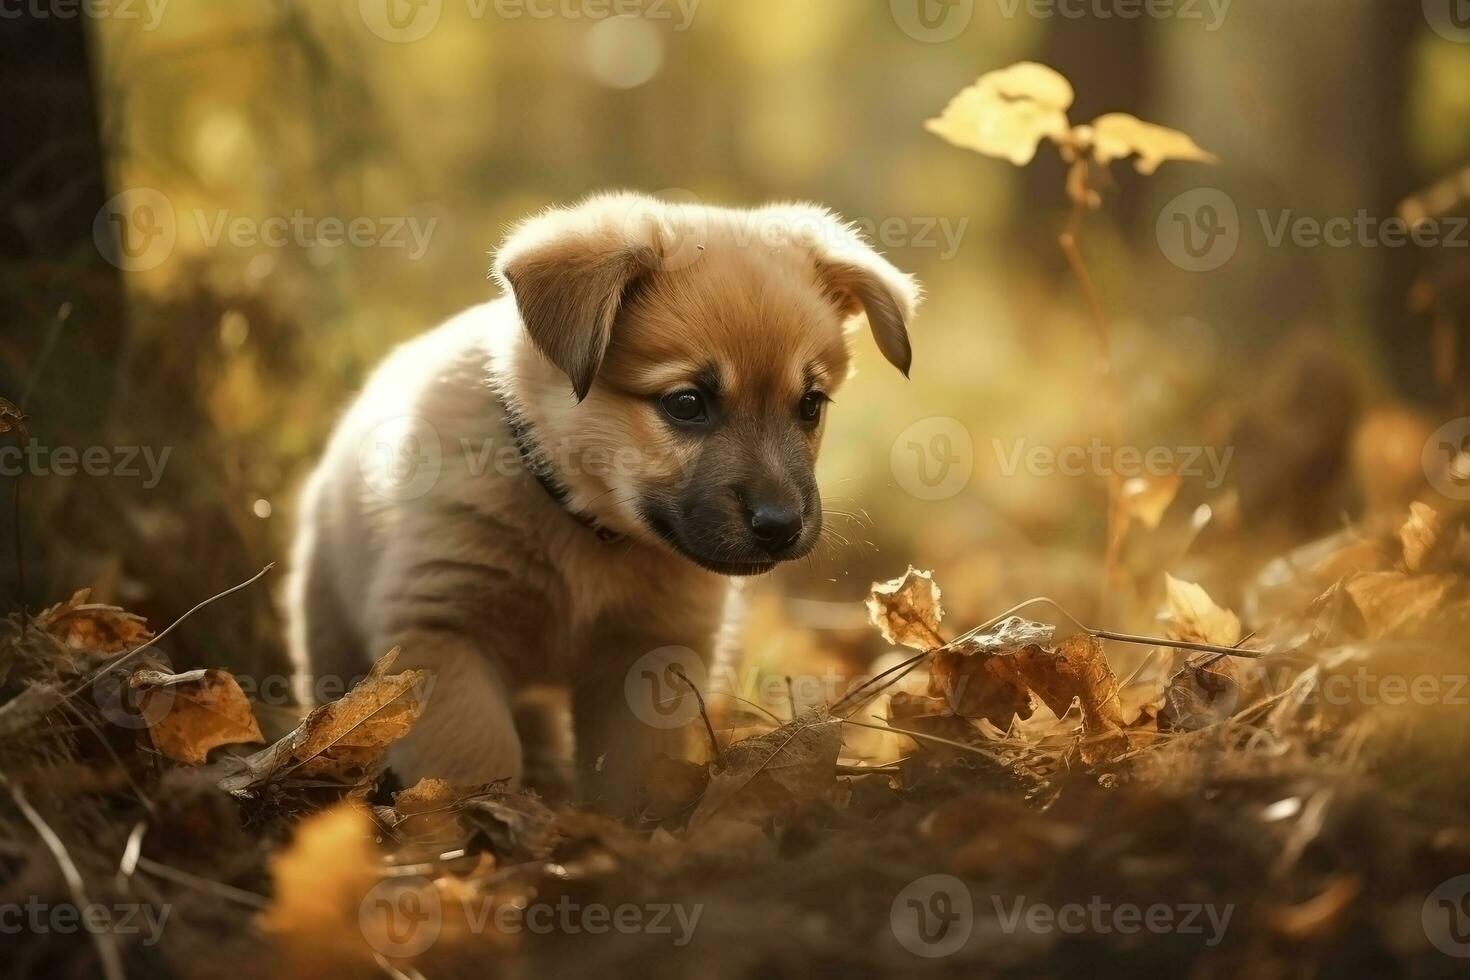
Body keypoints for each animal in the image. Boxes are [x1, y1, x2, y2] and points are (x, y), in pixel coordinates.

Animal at [285, 191, 917, 799]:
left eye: (810, 405)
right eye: (686, 403)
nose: (781, 525)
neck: (583, 528)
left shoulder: (647, 657)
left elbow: (631, 774)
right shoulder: (444, 636)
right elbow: (476, 756)